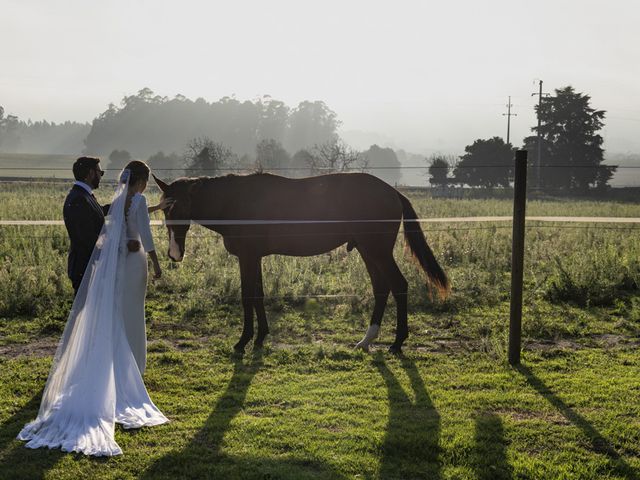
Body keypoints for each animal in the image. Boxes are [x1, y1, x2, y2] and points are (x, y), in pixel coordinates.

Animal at [153, 172, 450, 352]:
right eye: (164, 209)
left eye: (179, 206)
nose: (174, 253)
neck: (236, 202)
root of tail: (392, 191)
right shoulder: (253, 258)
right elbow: (258, 295)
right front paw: (260, 338)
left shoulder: (248, 257)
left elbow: (248, 297)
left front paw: (243, 341)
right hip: (369, 251)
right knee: (381, 289)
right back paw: (367, 340)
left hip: (377, 251)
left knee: (398, 286)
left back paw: (397, 343)